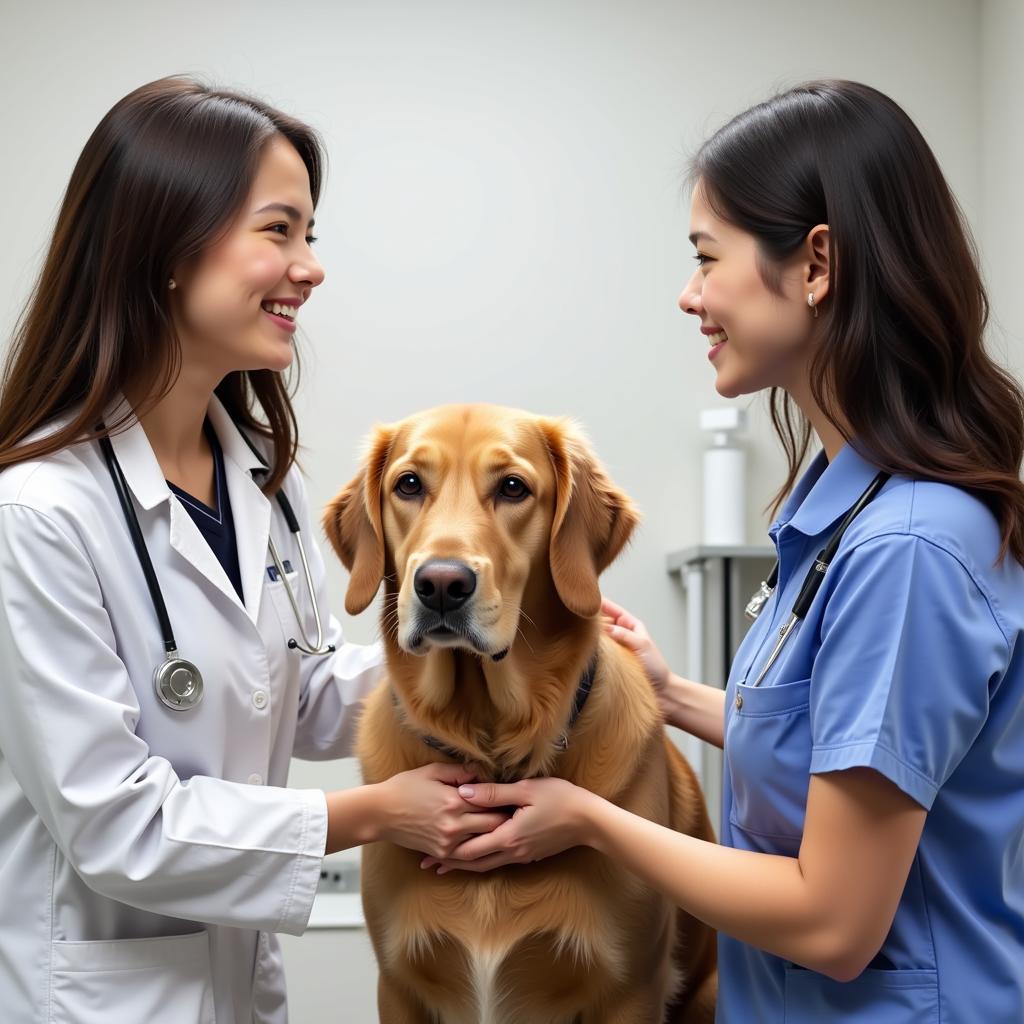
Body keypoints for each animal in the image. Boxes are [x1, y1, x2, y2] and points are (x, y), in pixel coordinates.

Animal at [323, 403, 716, 1019]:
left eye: (513, 487)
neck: (490, 740)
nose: (441, 584)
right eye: (408, 484)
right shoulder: (400, 985)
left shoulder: (632, 989)